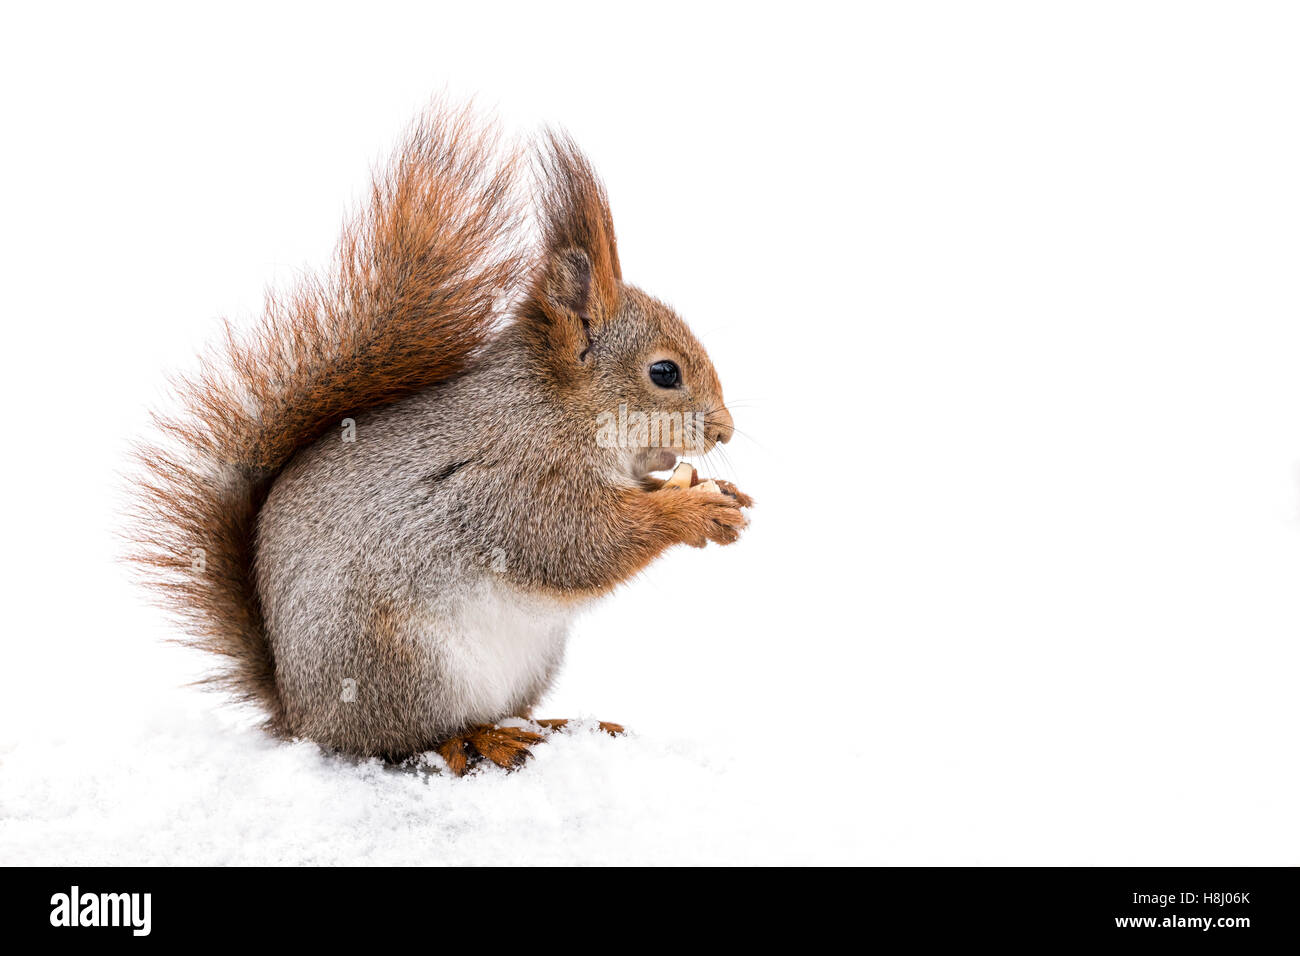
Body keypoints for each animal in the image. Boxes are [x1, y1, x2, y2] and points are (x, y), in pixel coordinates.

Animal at [129, 103, 751, 774]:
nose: (725, 429)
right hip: (402, 665)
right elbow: (578, 543)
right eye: (664, 373)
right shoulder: (508, 484)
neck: (556, 409)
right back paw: (482, 741)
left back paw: (550, 726)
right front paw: (690, 510)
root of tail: (301, 716)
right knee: (411, 740)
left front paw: (717, 493)